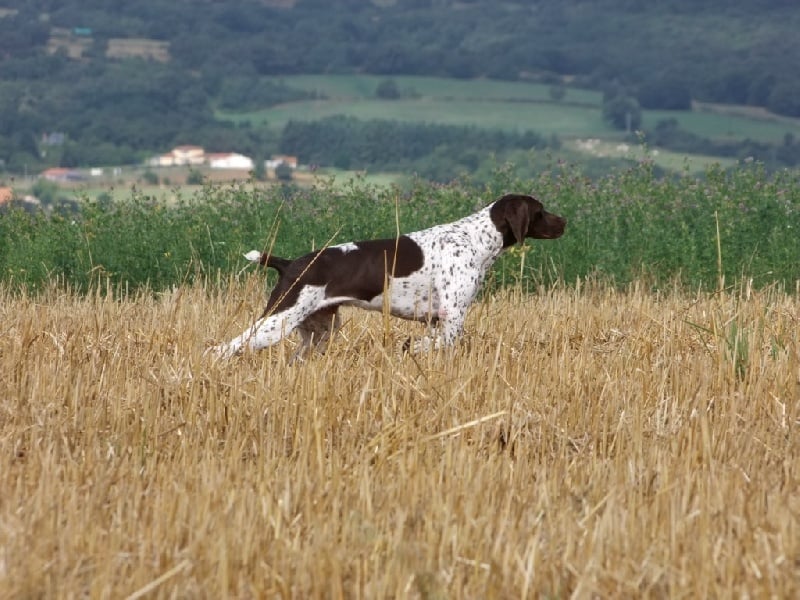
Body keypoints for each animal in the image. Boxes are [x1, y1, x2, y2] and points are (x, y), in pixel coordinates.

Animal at [209, 195, 564, 358]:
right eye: (540, 210)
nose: (565, 223)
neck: (475, 238)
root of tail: (289, 263)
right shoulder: (451, 318)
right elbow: (433, 344)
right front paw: (413, 347)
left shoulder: (439, 320)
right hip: (277, 321)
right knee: (223, 349)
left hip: (319, 333)